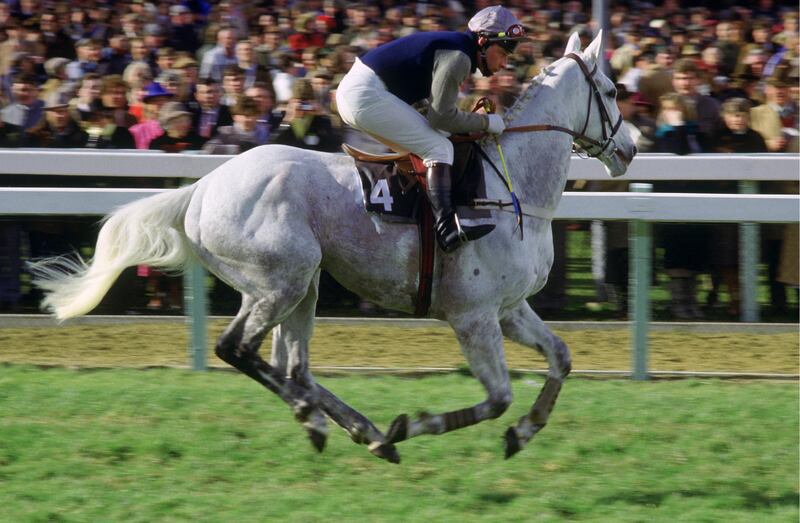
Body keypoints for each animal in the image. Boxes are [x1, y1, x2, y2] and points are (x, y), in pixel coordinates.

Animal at [32, 34, 636, 464]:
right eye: (609, 91)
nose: (630, 149)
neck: (510, 186)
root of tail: (199, 190)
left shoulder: (510, 309)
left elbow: (561, 358)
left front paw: (523, 432)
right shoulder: (473, 316)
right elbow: (497, 397)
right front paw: (418, 425)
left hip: (304, 285)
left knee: (293, 367)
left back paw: (357, 430)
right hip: (281, 281)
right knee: (239, 350)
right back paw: (334, 421)